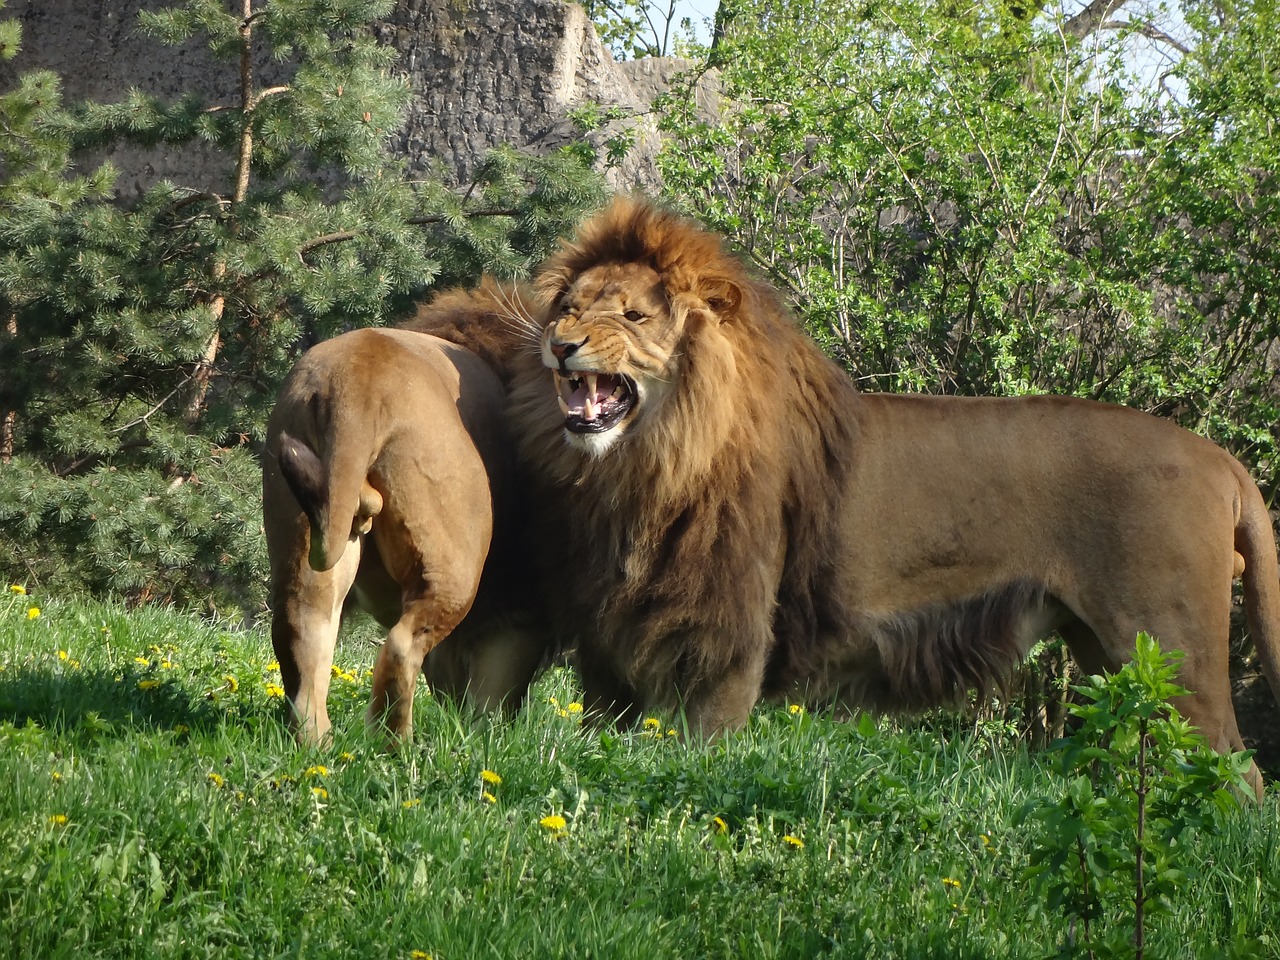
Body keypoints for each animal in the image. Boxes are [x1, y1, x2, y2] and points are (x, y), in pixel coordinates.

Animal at [264, 320, 545, 747]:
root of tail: (357, 382)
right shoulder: (516, 611)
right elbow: (494, 687)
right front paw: (483, 735)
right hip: (451, 567)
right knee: (402, 646)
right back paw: (395, 743)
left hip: (302, 532)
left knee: (302, 629)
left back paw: (317, 741)